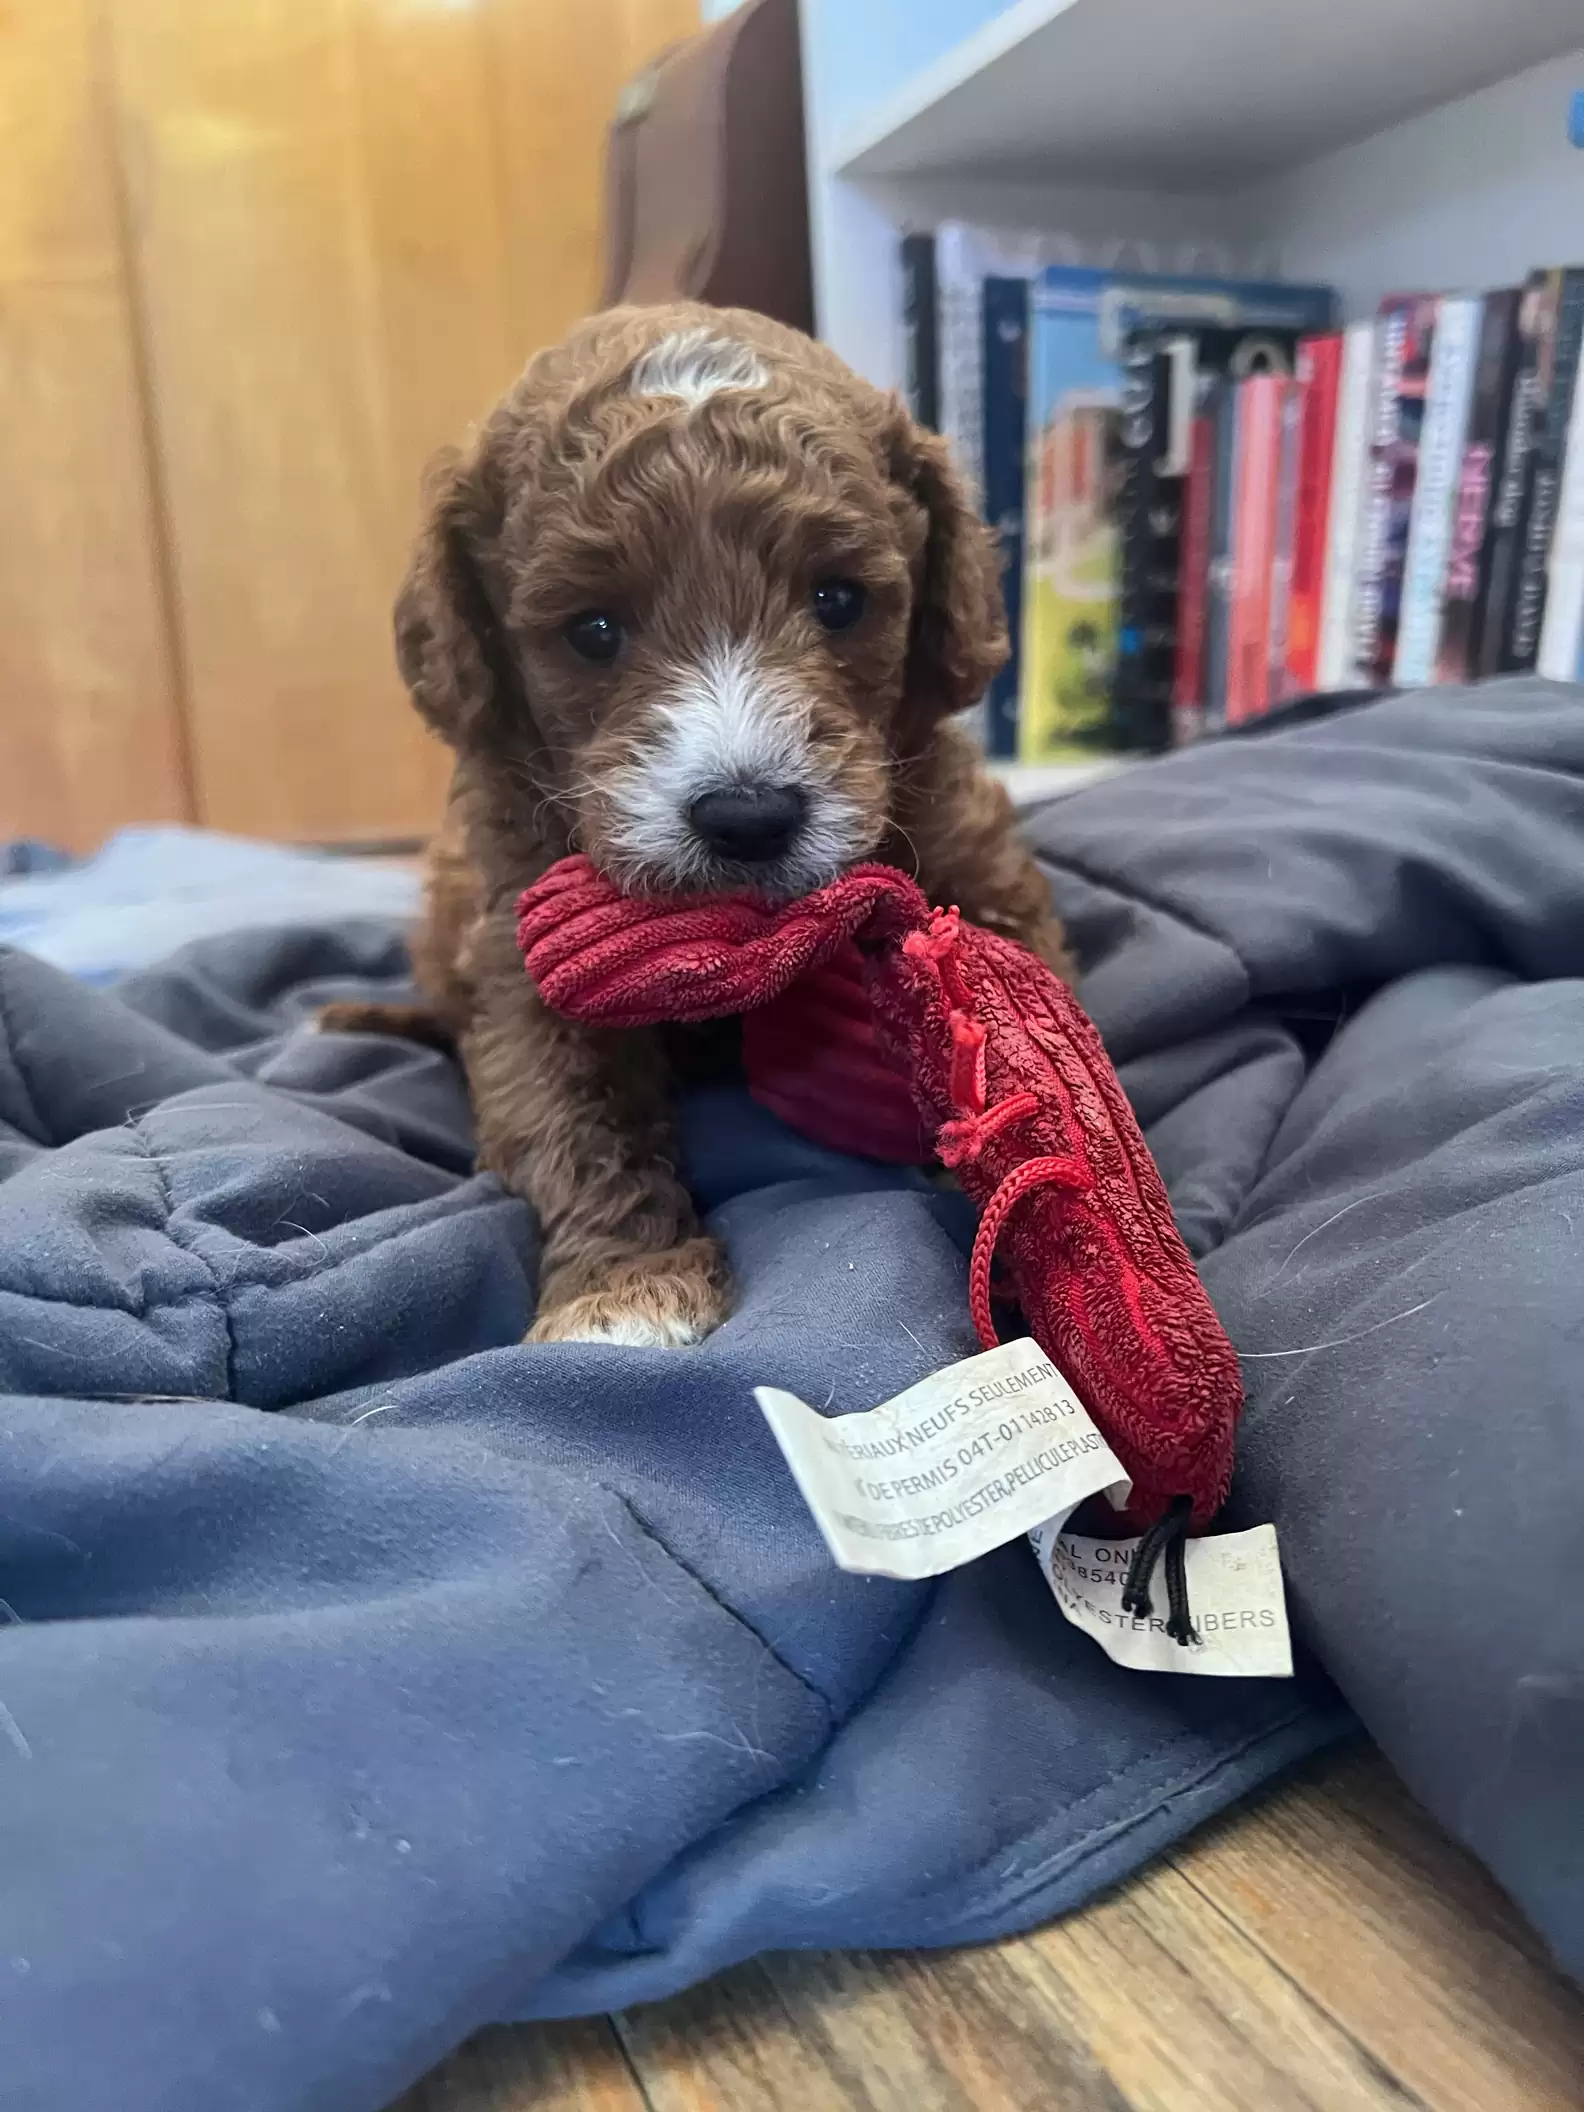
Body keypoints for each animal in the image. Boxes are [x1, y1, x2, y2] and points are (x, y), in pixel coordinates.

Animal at [329, 304, 1072, 1343]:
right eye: (593, 630)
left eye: (838, 599)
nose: (749, 817)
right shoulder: (522, 942)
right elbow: (572, 1113)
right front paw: (621, 1292)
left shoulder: (972, 859)